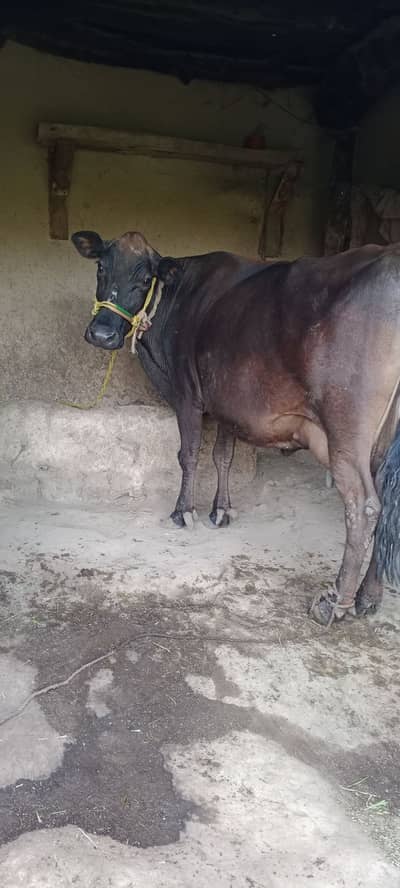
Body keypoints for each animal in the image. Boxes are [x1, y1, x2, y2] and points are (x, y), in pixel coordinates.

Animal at [71, 230, 400, 627]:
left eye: (144, 277)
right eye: (101, 268)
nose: (102, 334)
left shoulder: (187, 392)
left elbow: (189, 454)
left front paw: (183, 512)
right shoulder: (227, 402)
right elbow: (222, 457)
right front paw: (221, 511)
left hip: (346, 432)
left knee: (364, 505)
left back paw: (334, 603)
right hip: (383, 442)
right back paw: (369, 597)